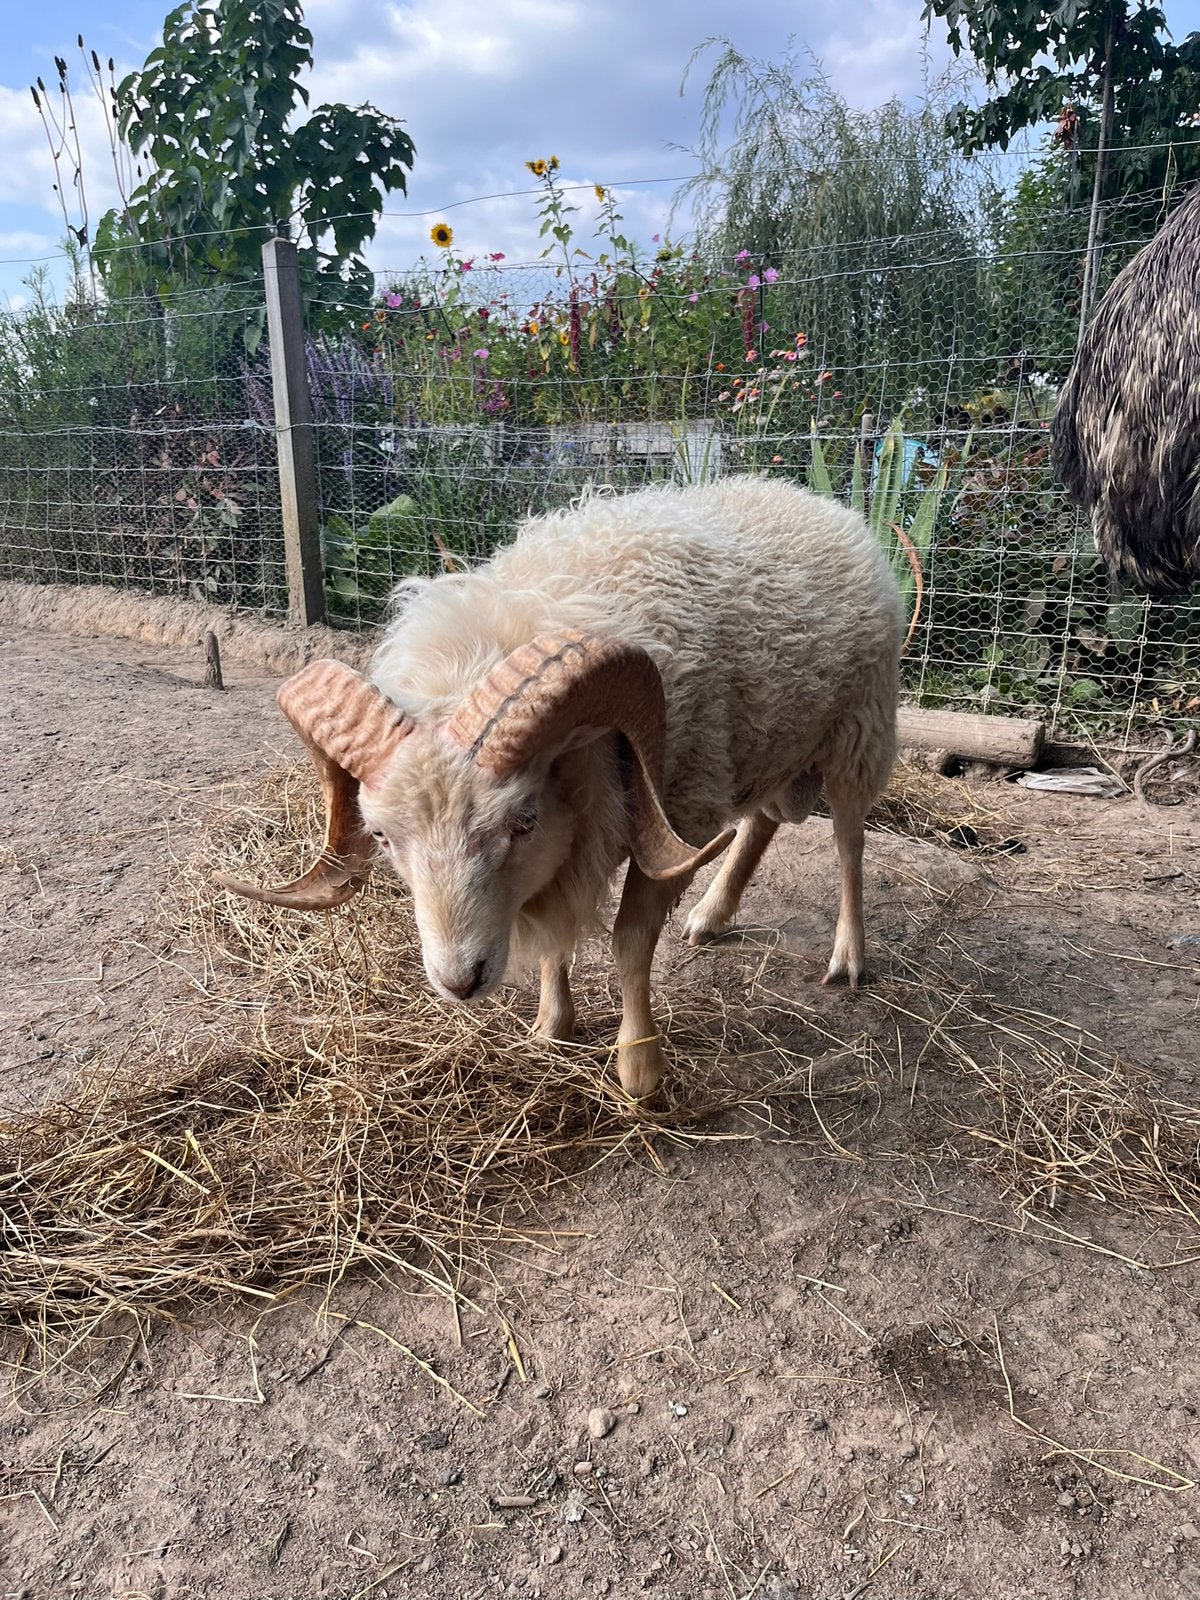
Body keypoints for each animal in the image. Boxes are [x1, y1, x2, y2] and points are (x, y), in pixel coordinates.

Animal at [217, 476, 903, 1098]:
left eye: (521, 820)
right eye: (383, 837)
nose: (459, 982)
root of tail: (812, 497)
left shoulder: (678, 815)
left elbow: (630, 944)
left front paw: (639, 1069)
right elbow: (554, 942)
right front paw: (552, 1025)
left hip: (860, 732)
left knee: (849, 843)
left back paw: (848, 957)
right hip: (772, 746)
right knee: (762, 821)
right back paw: (712, 915)